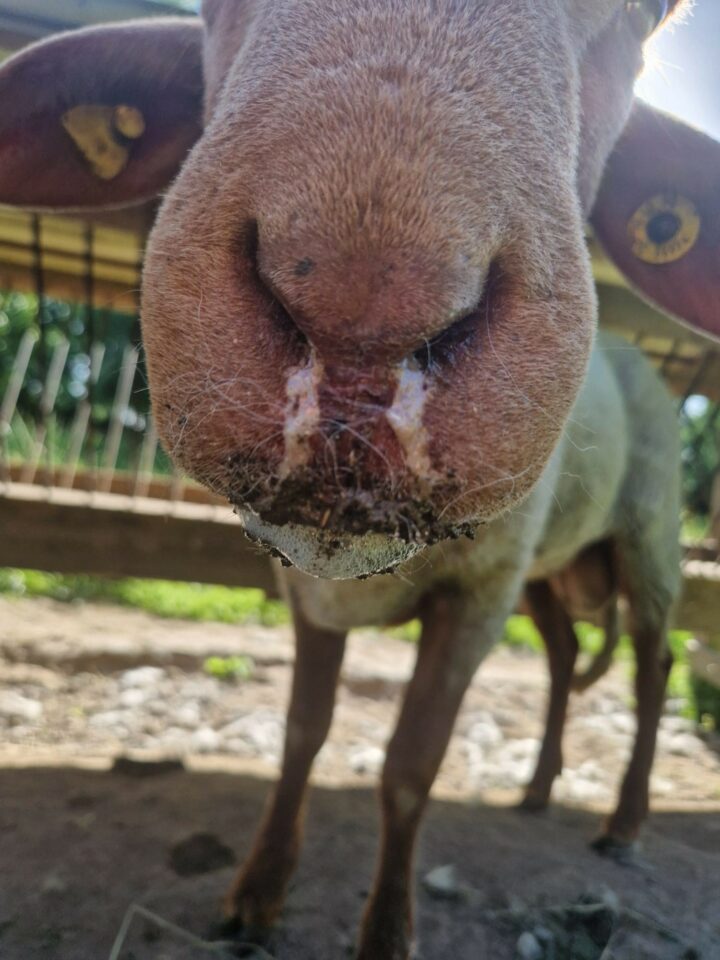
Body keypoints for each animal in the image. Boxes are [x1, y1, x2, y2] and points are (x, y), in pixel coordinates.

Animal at [1, 3, 720, 956]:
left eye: (647, 21)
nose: (360, 325)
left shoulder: (480, 591)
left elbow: (410, 769)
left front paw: (385, 930)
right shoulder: (308, 585)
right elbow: (303, 732)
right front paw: (257, 894)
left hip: (647, 536)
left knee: (653, 662)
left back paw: (625, 822)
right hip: (548, 567)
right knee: (567, 654)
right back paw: (537, 789)